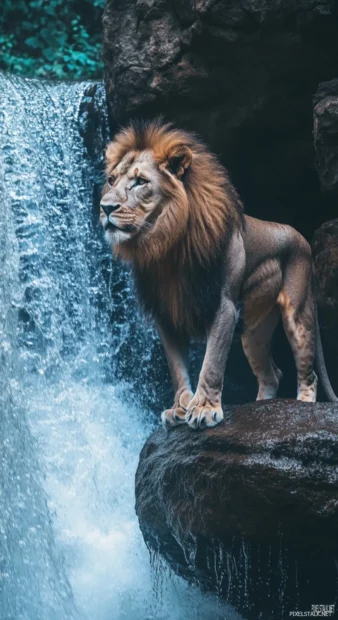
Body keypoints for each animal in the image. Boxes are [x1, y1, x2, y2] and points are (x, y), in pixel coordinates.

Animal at [99, 121, 336, 432]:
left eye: (140, 182)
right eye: (111, 179)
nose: (105, 207)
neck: (166, 247)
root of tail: (301, 237)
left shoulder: (223, 306)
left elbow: (211, 363)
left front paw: (204, 409)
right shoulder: (166, 315)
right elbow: (177, 368)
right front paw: (179, 408)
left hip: (298, 314)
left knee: (308, 373)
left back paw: (302, 405)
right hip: (254, 332)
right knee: (272, 374)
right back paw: (261, 408)